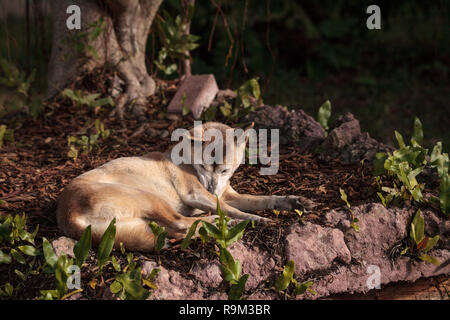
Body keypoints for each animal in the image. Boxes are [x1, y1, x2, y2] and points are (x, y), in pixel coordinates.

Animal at [57, 121, 312, 251]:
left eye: (224, 171)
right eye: (203, 166)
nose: (212, 190)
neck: (187, 160)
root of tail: (68, 216)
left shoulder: (228, 194)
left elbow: (263, 198)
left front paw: (292, 201)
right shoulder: (197, 194)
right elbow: (234, 209)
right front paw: (257, 219)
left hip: (138, 223)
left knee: (177, 229)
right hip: (150, 198)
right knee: (181, 222)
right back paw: (222, 222)